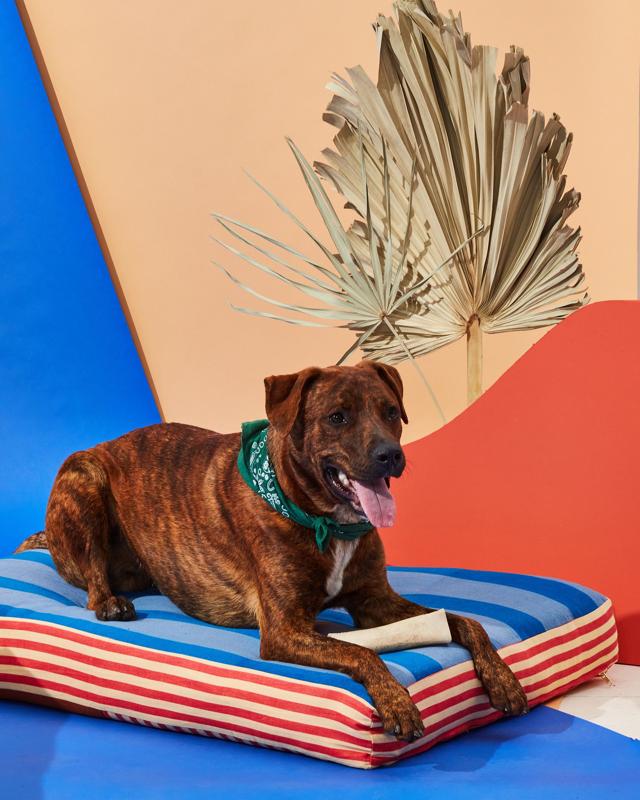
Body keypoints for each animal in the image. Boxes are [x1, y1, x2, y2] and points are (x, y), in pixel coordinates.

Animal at [17, 360, 528, 740]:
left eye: (389, 411)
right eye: (337, 417)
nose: (391, 456)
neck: (324, 520)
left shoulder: (374, 601)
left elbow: (467, 621)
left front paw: (503, 679)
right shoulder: (283, 630)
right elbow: (361, 653)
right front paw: (398, 702)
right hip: (83, 477)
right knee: (92, 575)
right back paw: (109, 602)